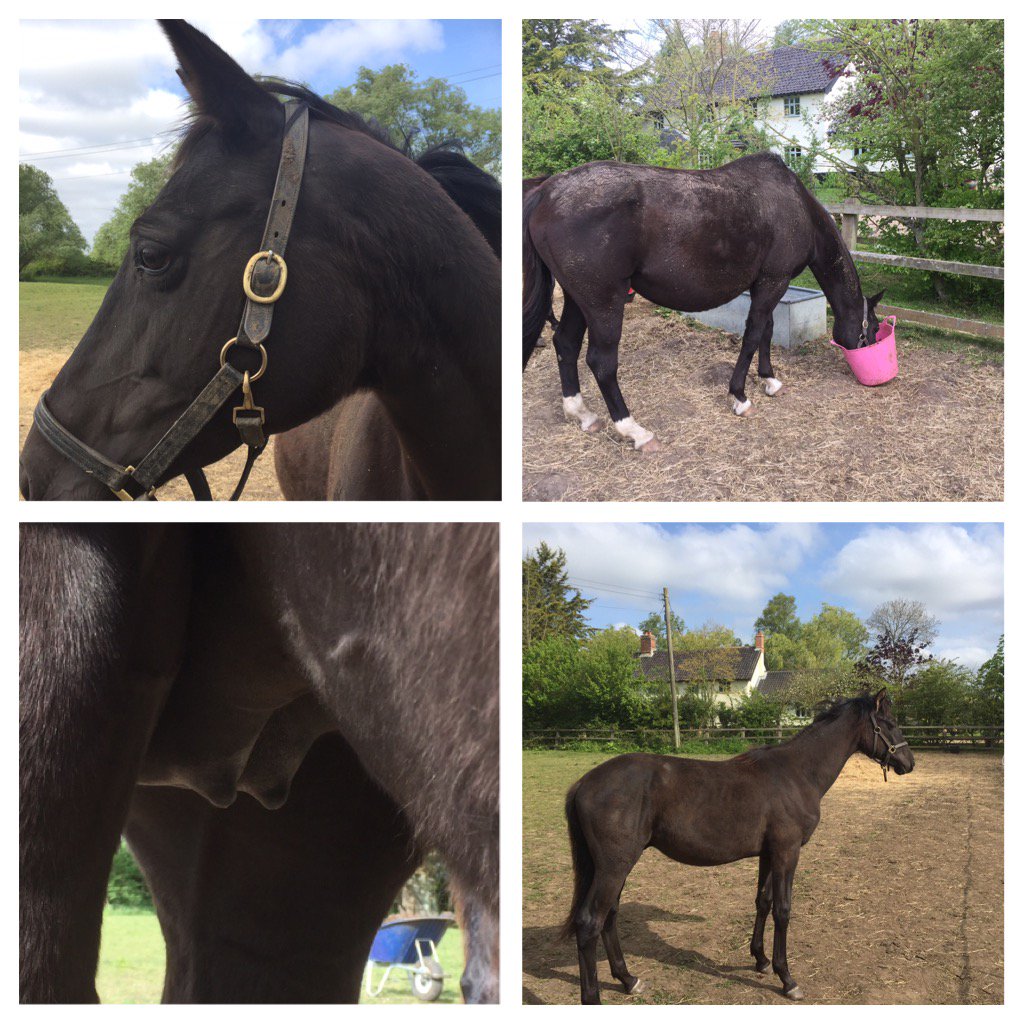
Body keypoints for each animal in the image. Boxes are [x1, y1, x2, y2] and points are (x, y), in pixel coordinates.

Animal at [522, 155, 883, 451]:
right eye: (872, 331)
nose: (868, 364)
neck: (798, 207)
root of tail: (547, 192)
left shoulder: (766, 285)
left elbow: (766, 331)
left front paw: (769, 379)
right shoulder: (773, 282)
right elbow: (753, 335)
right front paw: (740, 396)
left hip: (577, 299)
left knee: (565, 344)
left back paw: (582, 414)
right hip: (604, 302)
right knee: (601, 362)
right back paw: (635, 431)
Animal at [562, 691, 913, 1004]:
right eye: (890, 722)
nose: (908, 763)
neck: (797, 773)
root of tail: (584, 782)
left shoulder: (769, 854)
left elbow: (763, 902)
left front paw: (761, 960)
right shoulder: (787, 852)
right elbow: (783, 910)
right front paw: (787, 979)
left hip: (614, 868)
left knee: (609, 917)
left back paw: (628, 980)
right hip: (614, 866)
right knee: (590, 922)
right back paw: (594, 997)